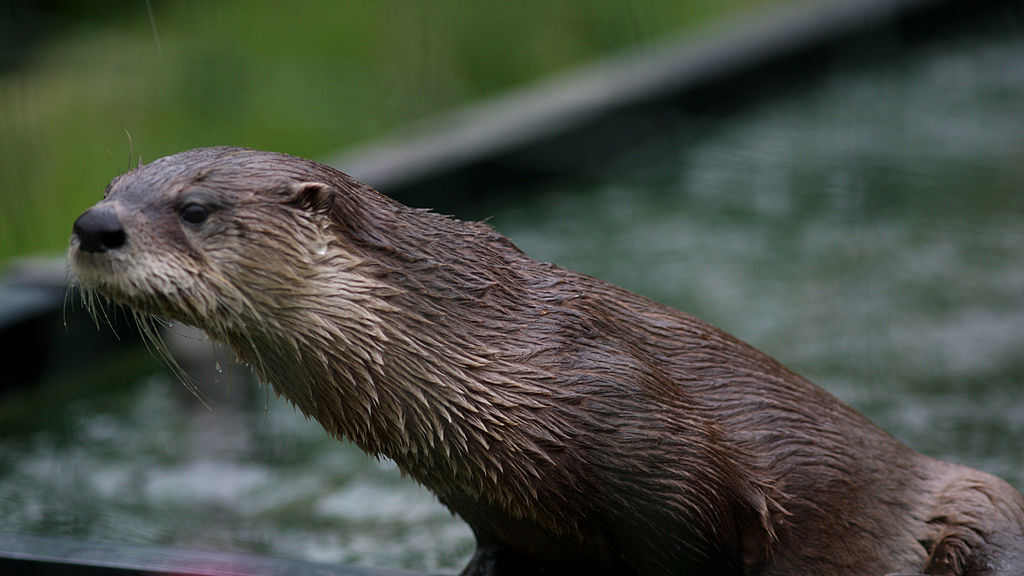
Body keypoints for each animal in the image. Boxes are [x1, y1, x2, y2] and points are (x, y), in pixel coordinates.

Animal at [69, 146, 1024, 575]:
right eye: (112, 188)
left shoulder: (663, 448)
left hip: (980, 512)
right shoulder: (494, 513)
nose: (92, 226)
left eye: (194, 208)